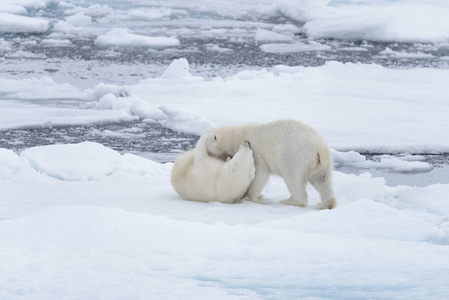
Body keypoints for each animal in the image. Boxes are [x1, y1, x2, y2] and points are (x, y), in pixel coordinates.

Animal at [205, 119, 334, 209]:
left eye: (208, 149)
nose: (209, 156)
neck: (239, 135)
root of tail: (319, 146)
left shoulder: (256, 152)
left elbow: (260, 173)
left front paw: (252, 196)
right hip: (320, 162)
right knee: (322, 179)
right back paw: (325, 204)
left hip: (293, 155)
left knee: (292, 177)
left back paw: (290, 201)